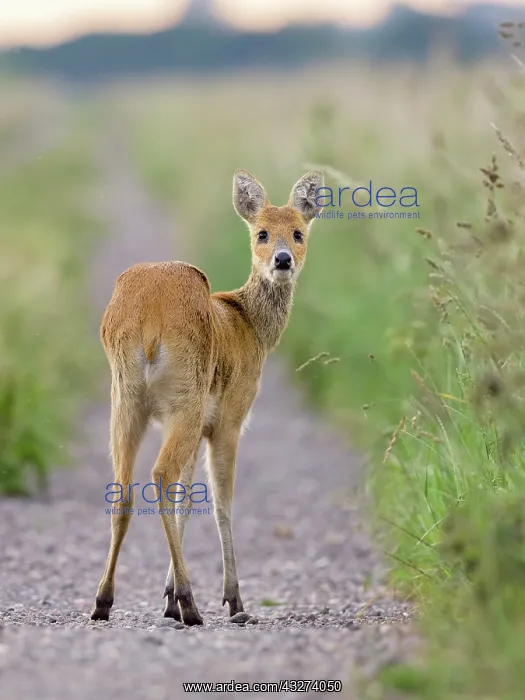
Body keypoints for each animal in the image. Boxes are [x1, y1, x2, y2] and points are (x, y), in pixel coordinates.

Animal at [91, 169, 324, 625]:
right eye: (262, 232)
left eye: (299, 233)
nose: (282, 260)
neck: (247, 324)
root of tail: (149, 318)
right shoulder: (228, 419)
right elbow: (221, 503)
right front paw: (233, 601)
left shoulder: (199, 426)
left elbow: (187, 498)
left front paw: (166, 599)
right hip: (185, 397)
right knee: (160, 475)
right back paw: (191, 604)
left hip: (125, 398)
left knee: (124, 488)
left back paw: (104, 601)